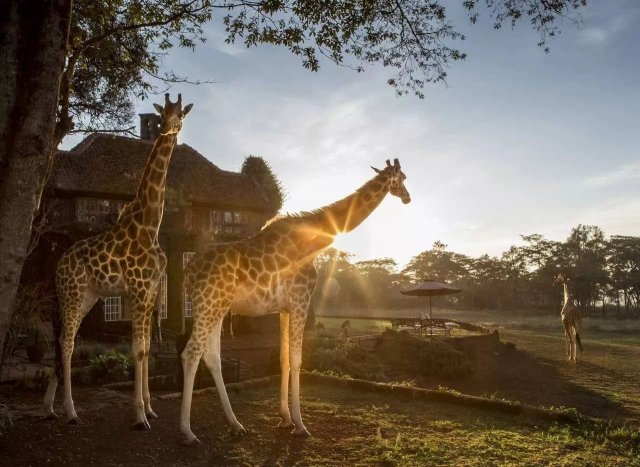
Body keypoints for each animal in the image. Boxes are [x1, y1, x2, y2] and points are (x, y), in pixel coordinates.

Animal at [43, 93, 192, 430]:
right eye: (161, 114)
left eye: (181, 115)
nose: (167, 128)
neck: (150, 224)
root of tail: (58, 265)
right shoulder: (137, 289)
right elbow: (137, 350)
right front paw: (139, 415)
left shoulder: (150, 292)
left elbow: (147, 348)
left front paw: (149, 408)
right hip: (71, 295)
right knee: (67, 344)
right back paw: (71, 412)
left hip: (86, 298)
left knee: (62, 342)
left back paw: (48, 407)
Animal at [180, 158, 410, 446]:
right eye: (402, 177)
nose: (408, 198)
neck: (314, 238)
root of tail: (188, 273)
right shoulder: (301, 300)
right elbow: (298, 359)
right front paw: (300, 425)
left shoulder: (284, 308)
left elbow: (283, 358)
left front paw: (285, 418)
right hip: (207, 305)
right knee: (190, 353)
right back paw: (187, 431)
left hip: (216, 308)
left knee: (211, 356)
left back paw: (235, 424)